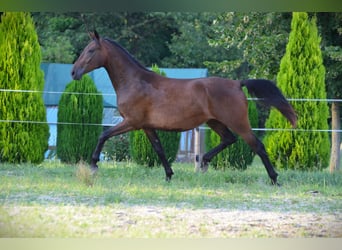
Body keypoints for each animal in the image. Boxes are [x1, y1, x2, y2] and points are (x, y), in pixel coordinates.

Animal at [72, 31, 296, 185]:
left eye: (90, 50)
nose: (74, 72)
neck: (135, 81)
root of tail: (237, 83)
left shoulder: (132, 122)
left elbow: (103, 135)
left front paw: (93, 165)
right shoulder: (146, 126)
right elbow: (159, 149)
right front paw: (169, 175)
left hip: (238, 123)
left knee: (258, 146)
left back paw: (274, 179)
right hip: (215, 122)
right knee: (229, 139)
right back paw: (204, 162)